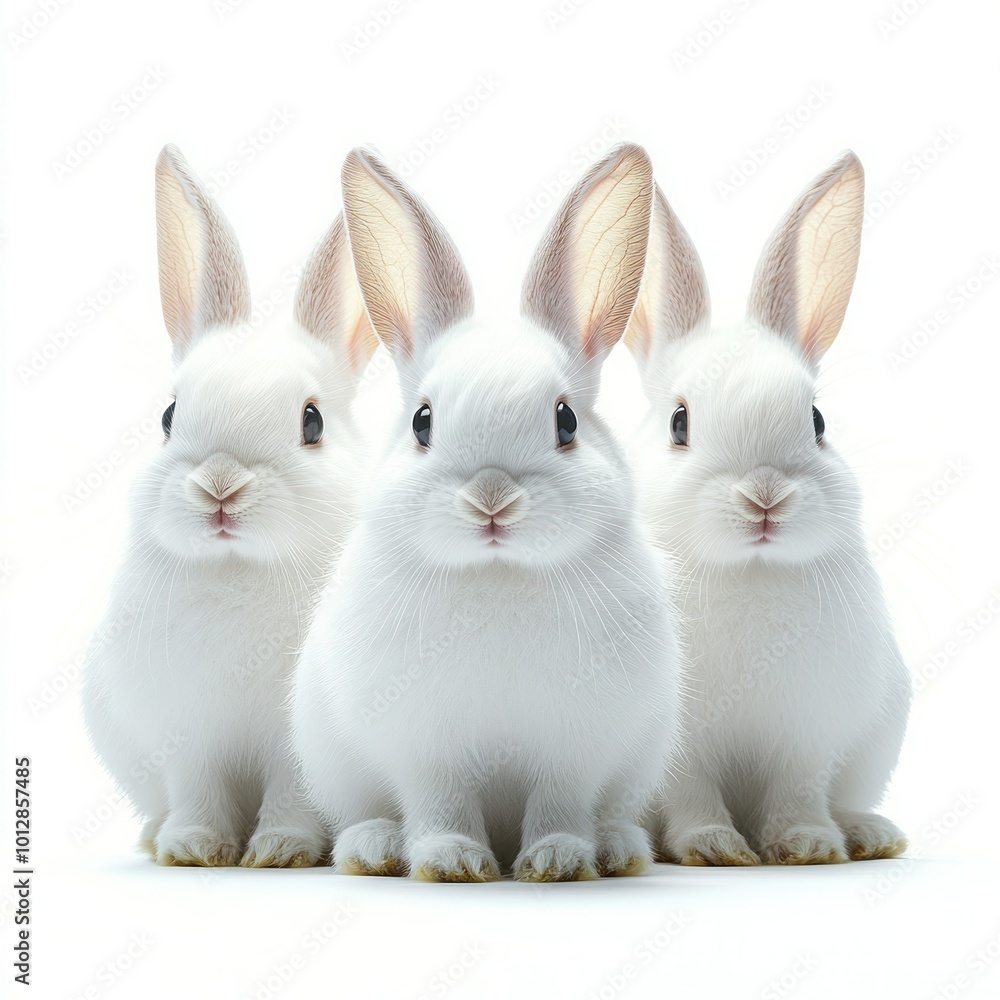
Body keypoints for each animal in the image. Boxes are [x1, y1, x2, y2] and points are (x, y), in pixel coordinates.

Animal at [80, 144, 376, 867]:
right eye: (168, 415)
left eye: (311, 422)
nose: (220, 487)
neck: (238, 570)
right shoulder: (186, 735)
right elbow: (197, 789)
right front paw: (193, 848)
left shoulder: (291, 746)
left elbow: (293, 793)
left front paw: (280, 851)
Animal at [292, 143, 683, 882]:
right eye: (423, 422)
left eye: (565, 421)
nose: (492, 499)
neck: (498, 575)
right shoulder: (424, 748)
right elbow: (440, 802)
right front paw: (454, 861)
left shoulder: (575, 749)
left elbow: (560, 803)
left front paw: (556, 860)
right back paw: (374, 846)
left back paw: (617, 847)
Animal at [625, 150, 911, 865]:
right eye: (678, 423)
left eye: (817, 421)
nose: (765, 495)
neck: (748, 572)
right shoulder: (682, 749)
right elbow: (691, 793)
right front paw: (714, 848)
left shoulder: (811, 733)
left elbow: (797, 793)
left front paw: (807, 846)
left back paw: (870, 834)